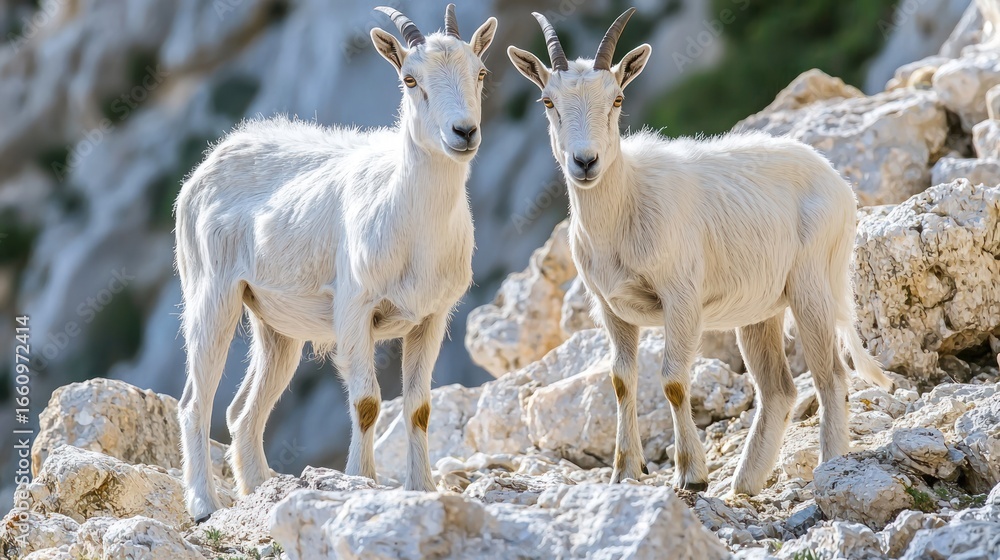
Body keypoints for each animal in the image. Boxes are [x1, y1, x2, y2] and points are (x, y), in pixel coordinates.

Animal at [174, 5, 497, 521]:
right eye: (409, 79)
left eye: (480, 71)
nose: (463, 132)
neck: (411, 223)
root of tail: (205, 167)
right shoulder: (354, 307)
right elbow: (366, 402)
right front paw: (360, 481)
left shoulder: (432, 316)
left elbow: (419, 408)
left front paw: (423, 488)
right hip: (211, 293)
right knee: (194, 402)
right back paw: (204, 503)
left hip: (276, 326)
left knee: (242, 410)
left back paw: (260, 488)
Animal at [507, 8, 891, 495]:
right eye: (547, 101)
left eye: (617, 99)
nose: (585, 162)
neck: (627, 204)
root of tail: (839, 185)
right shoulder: (611, 308)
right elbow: (621, 380)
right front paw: (624, 471)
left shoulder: (682, 296)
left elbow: (673, 380)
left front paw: (692, 474)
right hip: (760, 308)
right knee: (779, 389)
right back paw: (745, 483)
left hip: (812, 284)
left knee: (832, 377)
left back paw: (830, 465)